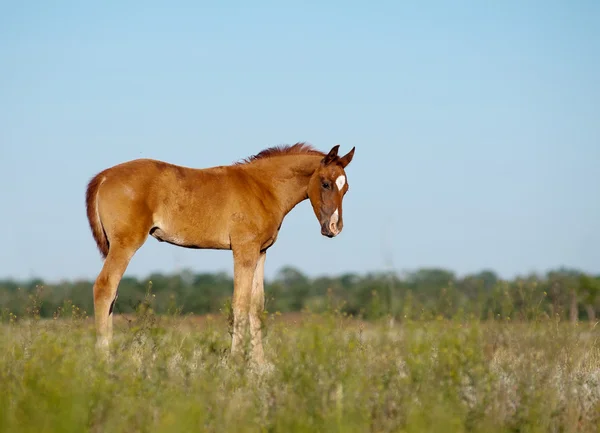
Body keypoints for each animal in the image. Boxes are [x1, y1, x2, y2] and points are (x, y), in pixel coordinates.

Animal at [86, 142, 354, 362]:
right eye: (326, 183)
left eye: (346, 188)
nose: (334, 228)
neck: (262, 187)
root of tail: (105, 176)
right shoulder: (243, 249)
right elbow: (240, 304)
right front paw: (235, 363)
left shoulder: (261, 251)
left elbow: (256, 306)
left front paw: (260, 367)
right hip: (125, 243)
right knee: (105, 286)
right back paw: (104, 358)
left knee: (112, 293)